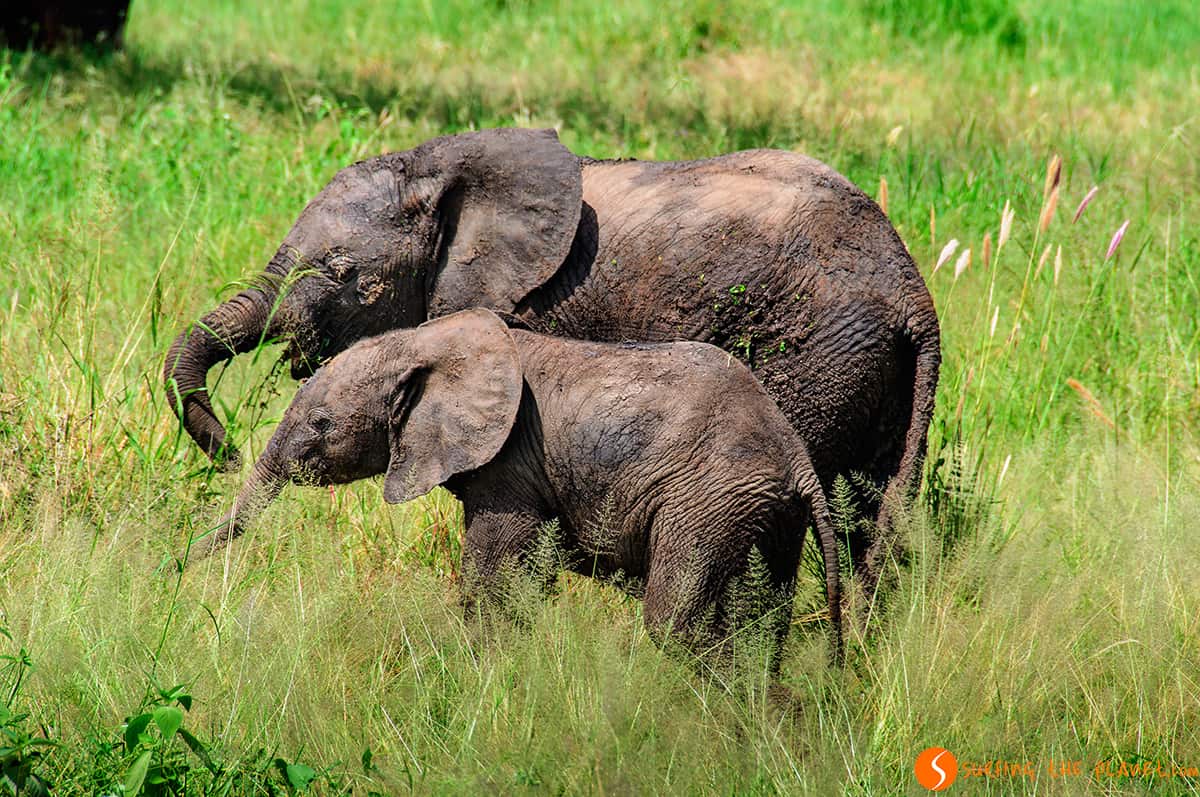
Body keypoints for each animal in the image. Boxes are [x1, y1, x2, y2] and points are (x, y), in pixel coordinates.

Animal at [164, 127, 940, 587]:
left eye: (338, 271)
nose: (226, 449)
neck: (445, 165)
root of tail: (912, 289)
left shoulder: (531, 307)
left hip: (813, 354)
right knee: (866, 512)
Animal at [198, 308, 843, 668]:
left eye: (321, 424)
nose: (182, 566)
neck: (429, 343)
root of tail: (794, 455)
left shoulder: (510, 465)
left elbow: (493, 588)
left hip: (709, 497)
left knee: (676, 619)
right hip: (762, 512)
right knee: (762, 619)